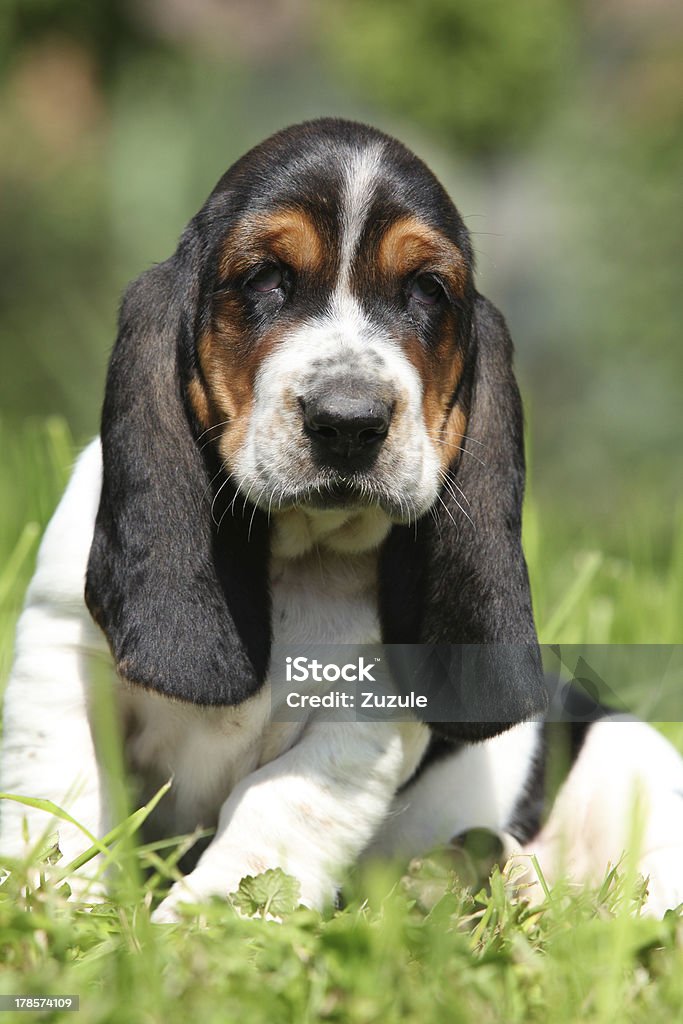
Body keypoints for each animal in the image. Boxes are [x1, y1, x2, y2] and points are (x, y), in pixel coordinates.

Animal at [3, 119, 683, 921]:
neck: (298, 556)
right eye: (265, 278)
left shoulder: (361, 725)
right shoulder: (59, 651)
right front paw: (49, 908)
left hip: (634, 761)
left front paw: (199, 928)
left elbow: (273, 818)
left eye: (426, 289)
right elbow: (57, 795)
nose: (350, 423)